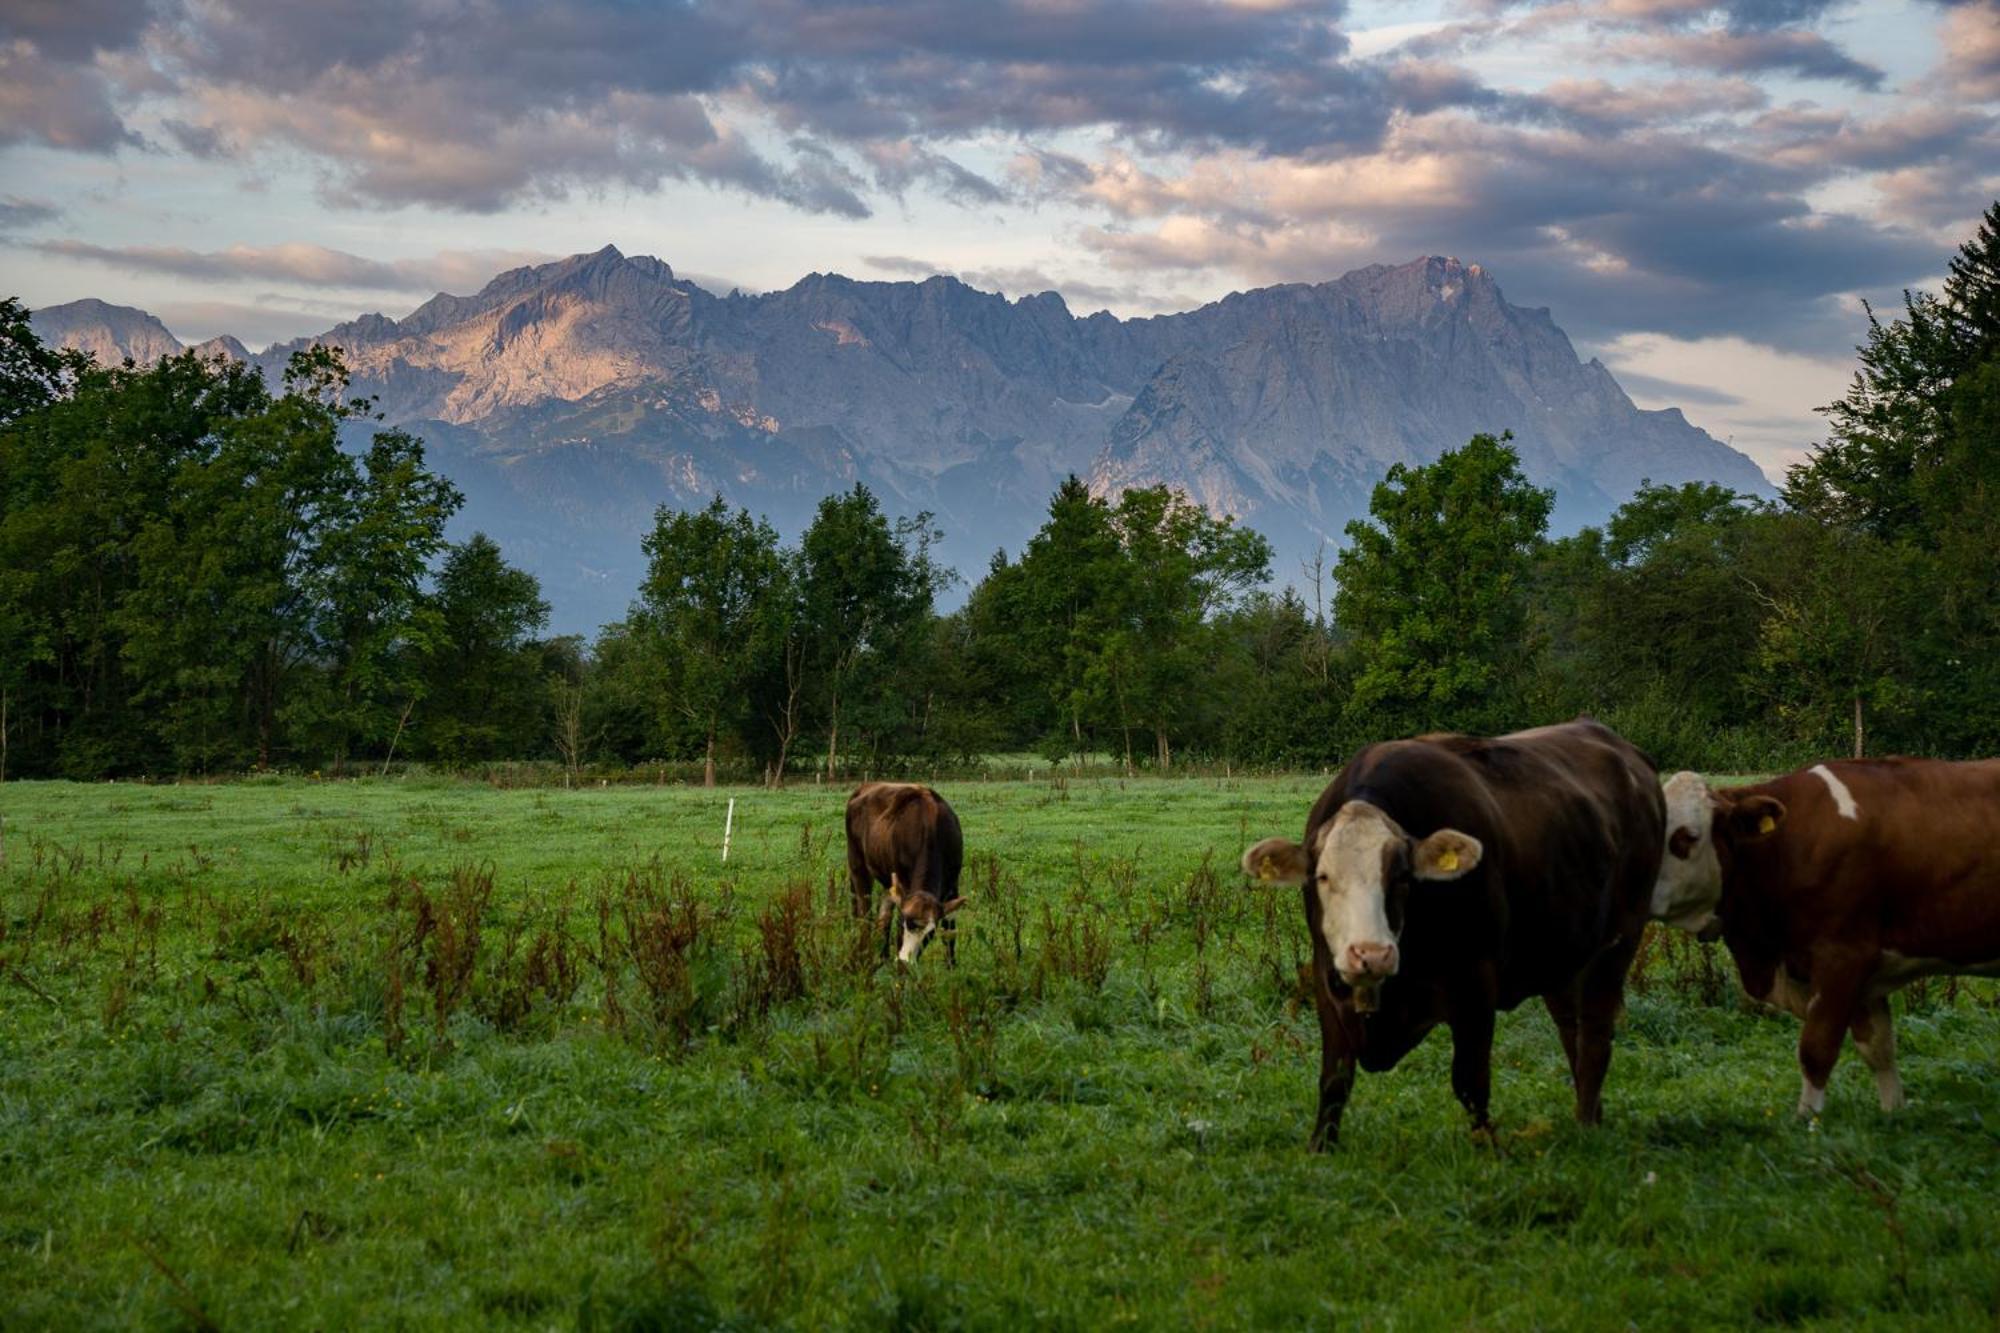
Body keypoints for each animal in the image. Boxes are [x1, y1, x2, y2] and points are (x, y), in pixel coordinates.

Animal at [844, 784, 968, 960]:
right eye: (904, 924)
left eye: (930, 932)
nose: (905, 960)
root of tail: (864, 787)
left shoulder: (952, 886)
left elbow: (949, 933)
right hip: (857, 864)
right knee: (863, 913)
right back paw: (863, 953)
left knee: (883, 916)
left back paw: (883, 957)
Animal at [1240, 716, 1664, 1144]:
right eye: (1323, 877)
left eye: (1402, 877)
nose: (1371, 954)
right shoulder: (1327, 979)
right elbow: (1334, 1081)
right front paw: (1320, 1148)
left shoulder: (1476, 983)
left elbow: (1471, 1082)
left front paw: (1491, 1148)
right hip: (1560, 952)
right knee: (1569, 1028)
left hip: (1619, 940)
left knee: (1594, 1034)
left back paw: (1586, 1125)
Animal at [1656, 756, 2000, 1112]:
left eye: (1689, 836)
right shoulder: (1865, 975)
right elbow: (1879, 1049)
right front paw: (1894, 1112)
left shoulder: (1843, 955)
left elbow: (1816, 1049)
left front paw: (1808, 1119)